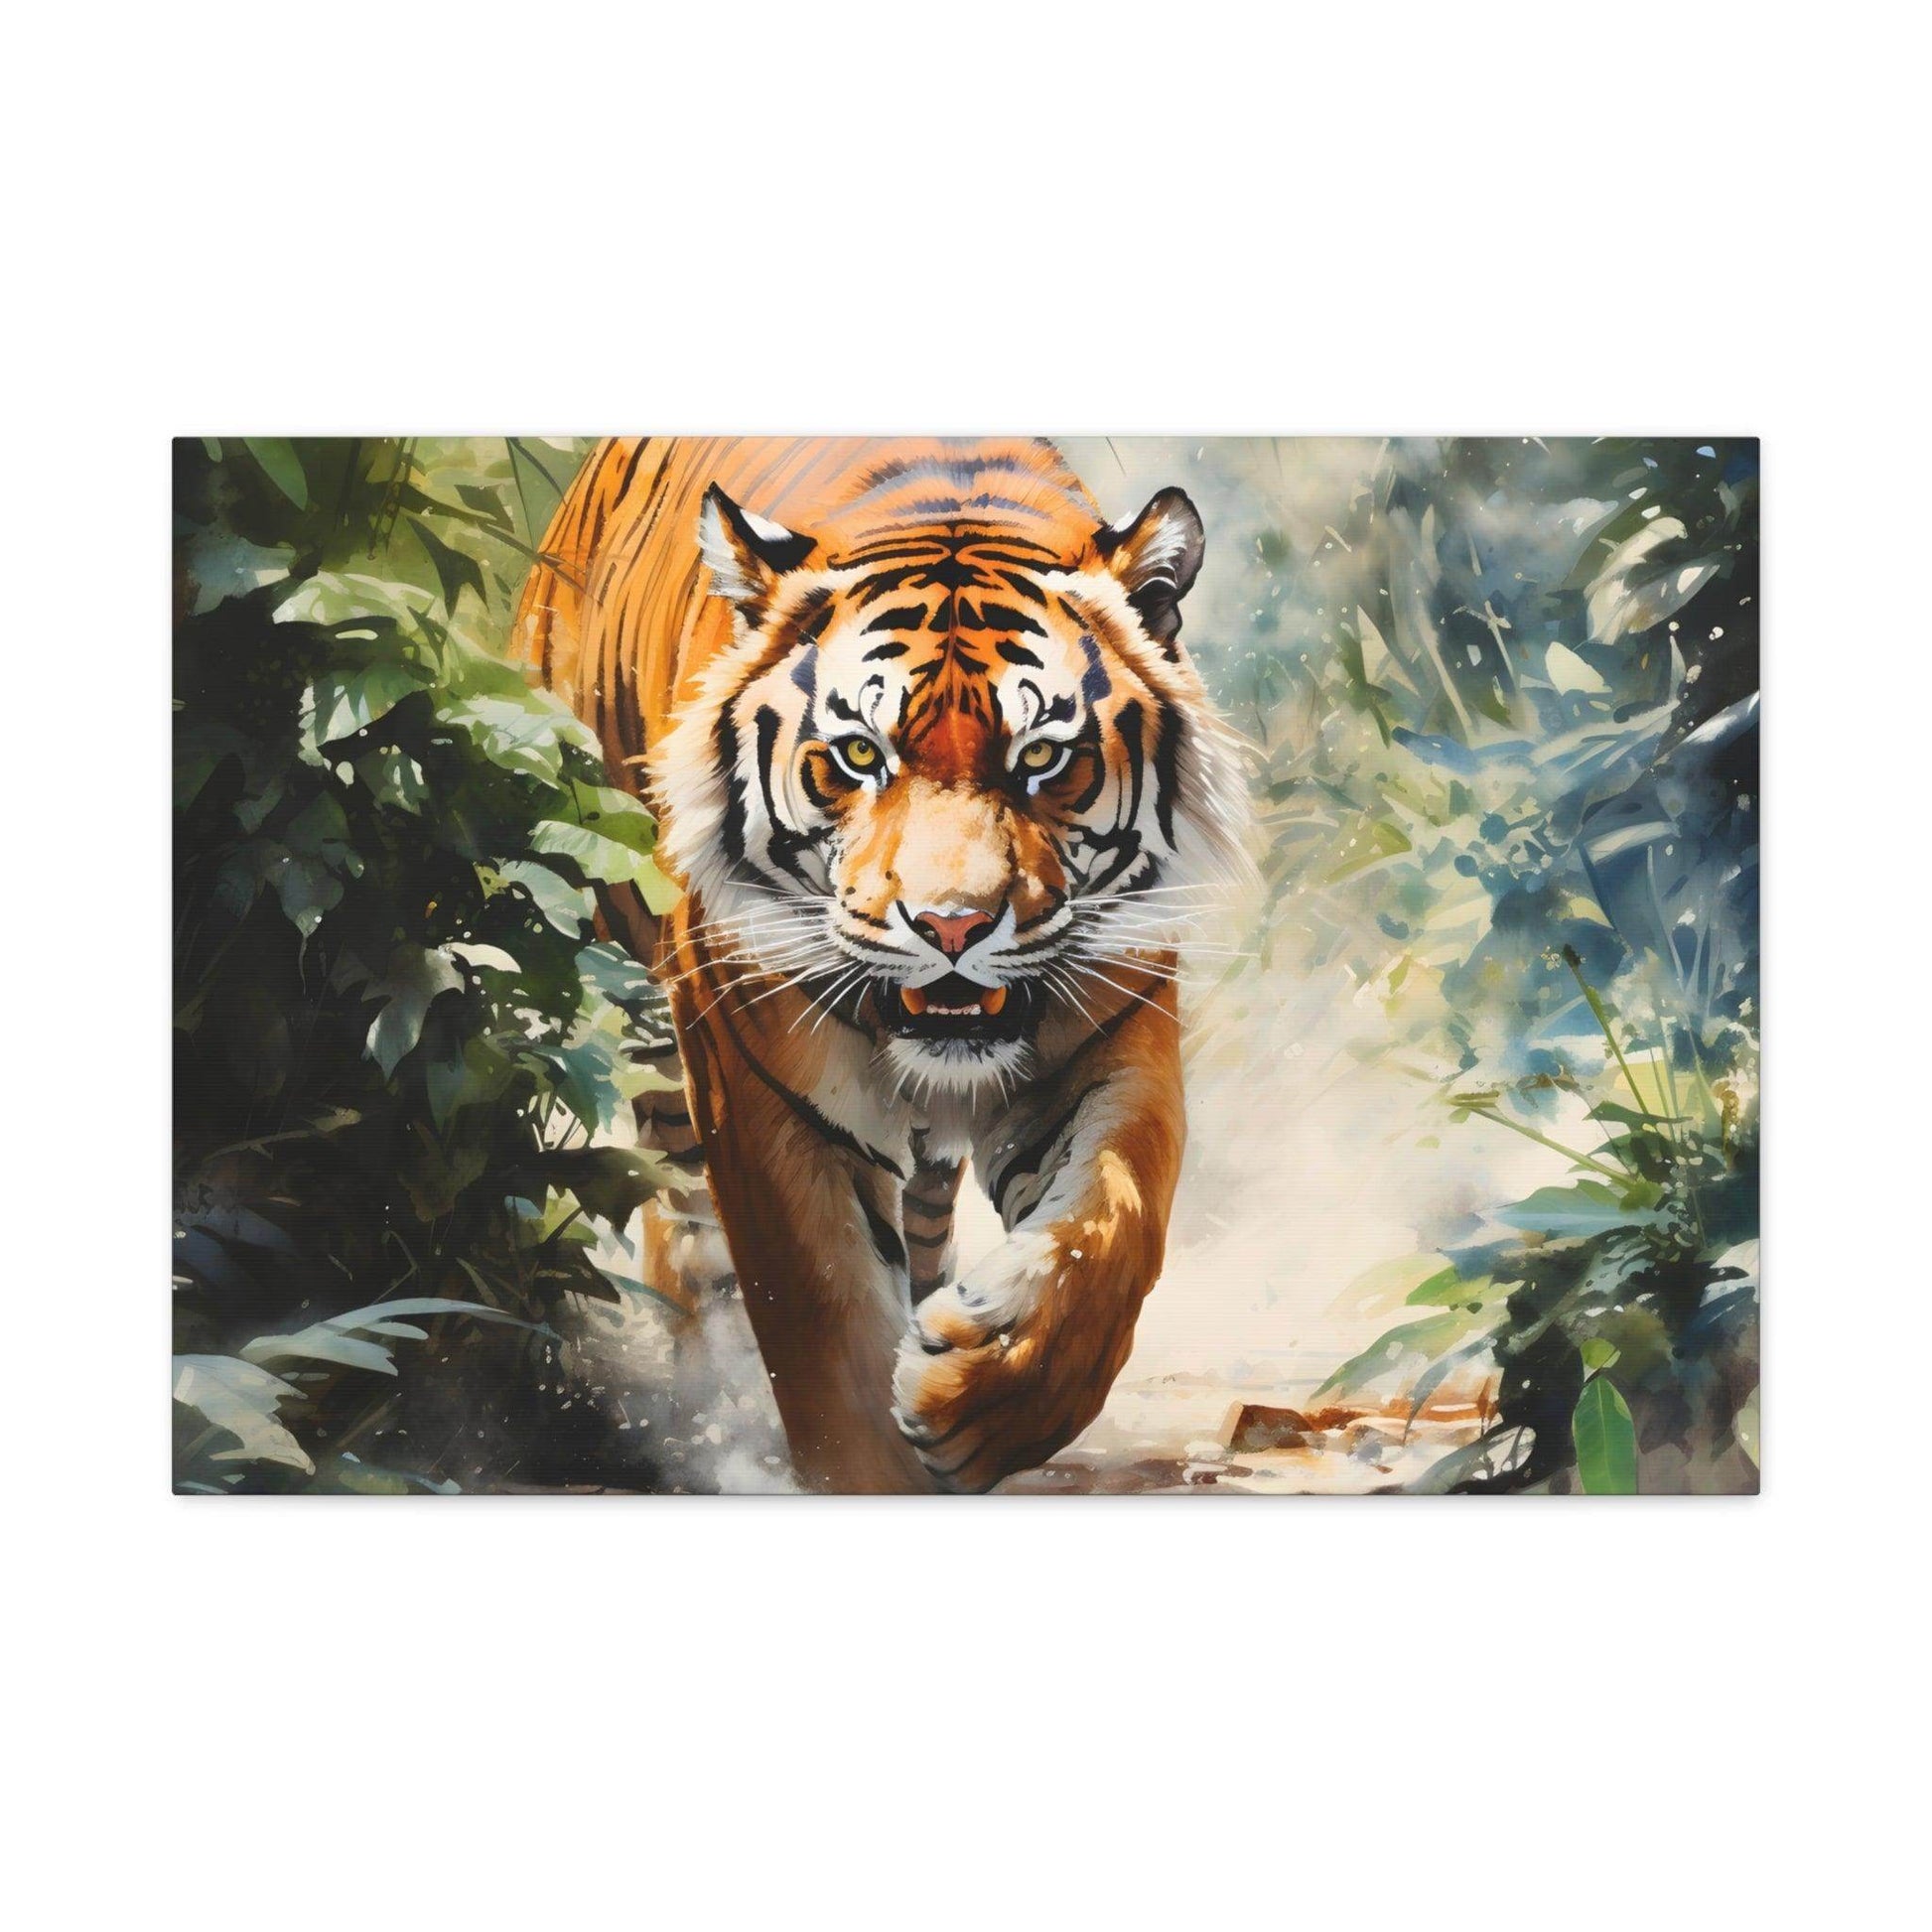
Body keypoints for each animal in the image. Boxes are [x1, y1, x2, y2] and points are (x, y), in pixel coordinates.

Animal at [514, 438, 1247, 1492]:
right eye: (859, 755)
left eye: (1043, 758)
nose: (952, 926)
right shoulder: (765, 1091)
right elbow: (823, 1329)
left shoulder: (1111, 1035)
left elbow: (1113, 1228)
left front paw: (978, 1398)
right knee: (687, 1243)